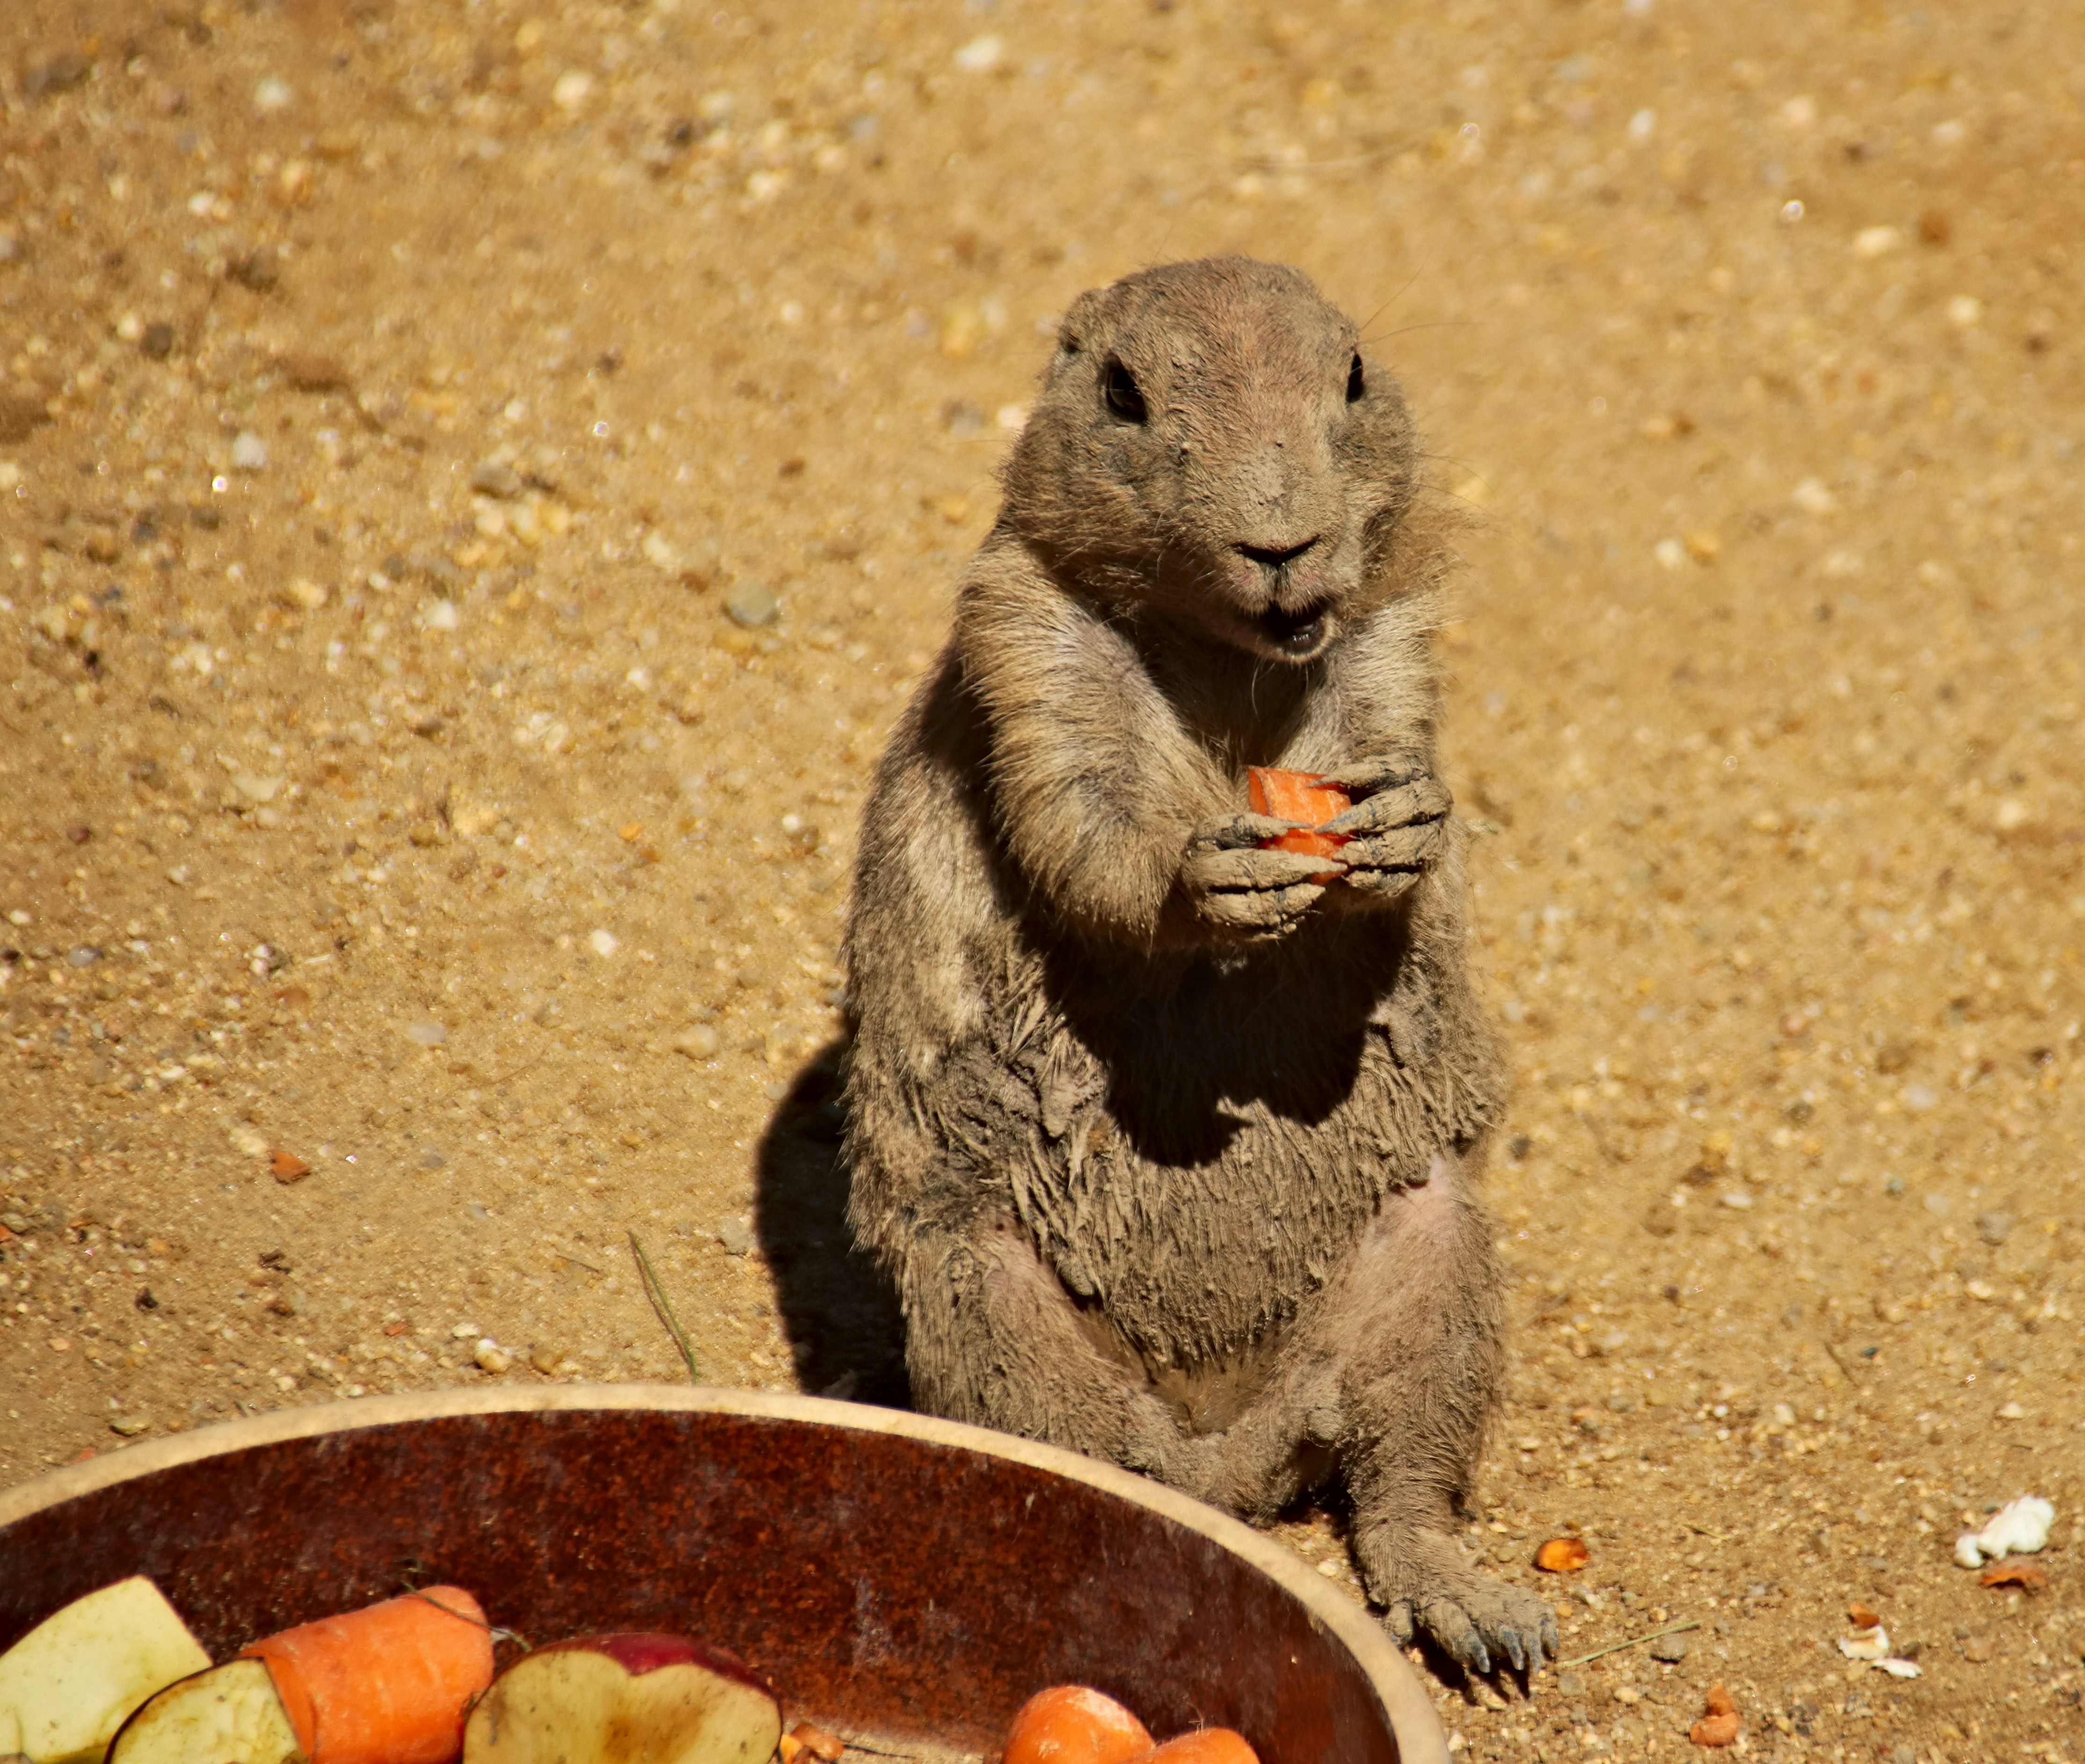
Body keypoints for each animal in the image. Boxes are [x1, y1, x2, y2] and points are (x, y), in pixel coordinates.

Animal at [842, 256, 1552, 1676]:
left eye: (1353, 371)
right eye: (1123, 393)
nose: (1282, 543)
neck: (1233, 661)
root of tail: (1224, 1451)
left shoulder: (1394, 637)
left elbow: (1395, 747)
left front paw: (1407, 824)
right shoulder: (1022, 637)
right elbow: (1081, 817)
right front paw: (1202, 879)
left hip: (1433, 1258)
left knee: (1398, 1479)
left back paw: (1472, 1604)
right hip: (987, 1296)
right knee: (1076, 1465)